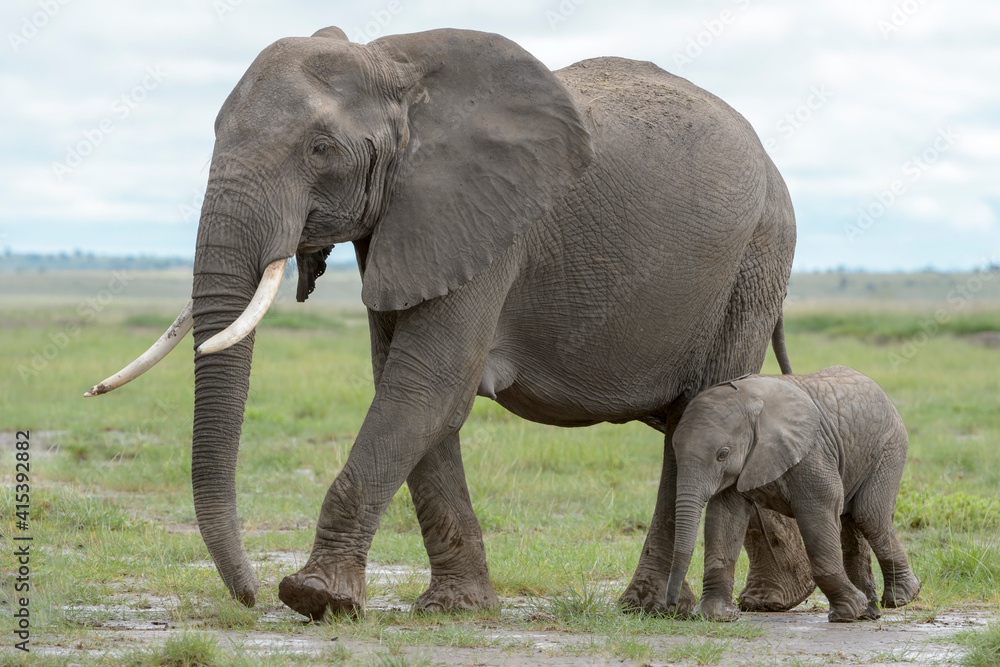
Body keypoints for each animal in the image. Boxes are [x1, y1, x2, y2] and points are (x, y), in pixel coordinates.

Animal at [86, 26, 817, 619]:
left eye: (320, 148)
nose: (248, 596)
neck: (397, 67)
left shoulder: (493, 226)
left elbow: (426, 384)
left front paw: (316, 599)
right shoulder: (406, 221)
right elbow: (408, 386)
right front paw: (455, 608)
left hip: (753, 259)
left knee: (703, 413)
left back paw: (655, 609)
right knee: (692, 420)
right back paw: (773, 598)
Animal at [664, 366, 921, 622]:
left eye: (722, 454)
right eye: (674, 450)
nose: (671, 605)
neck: (750, 401)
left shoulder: (811, 451)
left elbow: (819, 509)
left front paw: (848, 609)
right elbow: (725, 518)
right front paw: (715, 616)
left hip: (889, 446)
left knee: (869, 515)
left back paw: (900, 598)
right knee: (852, 521)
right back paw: (867, 614)